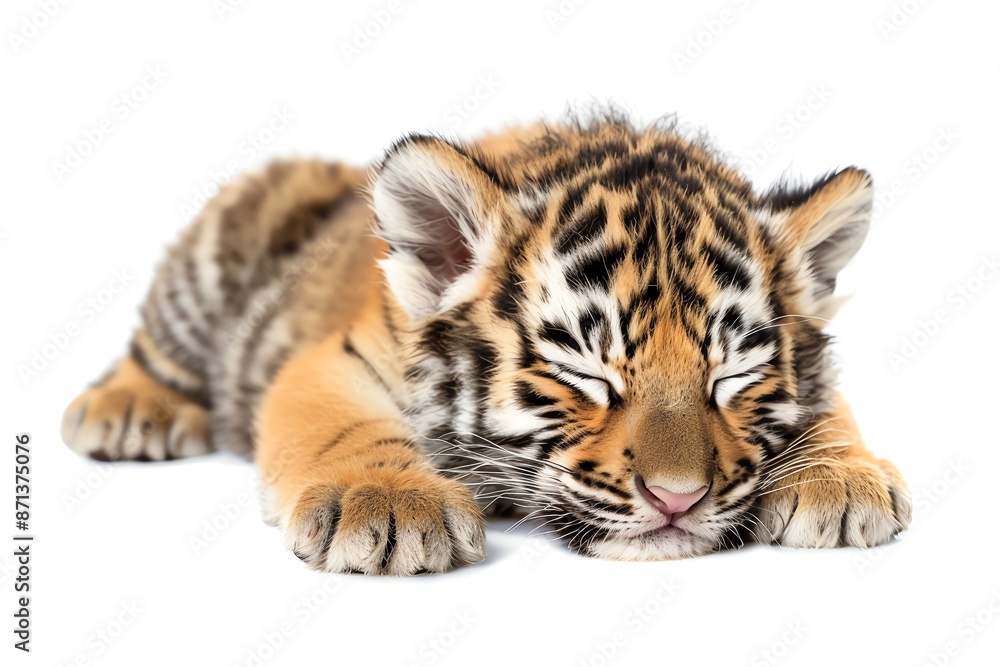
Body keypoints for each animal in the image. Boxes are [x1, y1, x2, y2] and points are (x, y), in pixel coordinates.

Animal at [60, 112, 912, 575]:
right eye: (583, 370)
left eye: (732, 374)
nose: (679, 499)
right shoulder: (333, 359)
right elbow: (338, 422)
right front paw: (388, 501)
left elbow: (829, 407)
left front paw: (843, 477)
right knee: (155, 347)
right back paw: (129, 411)